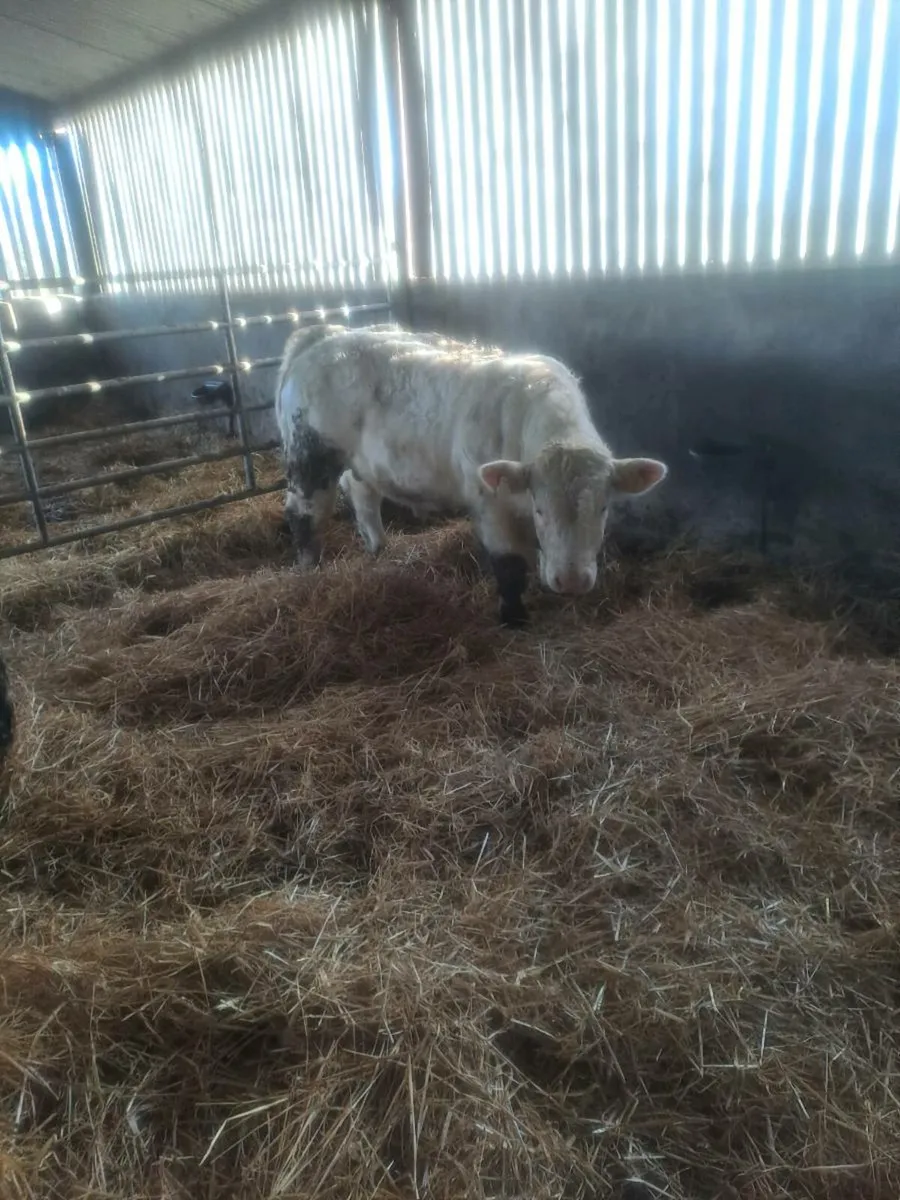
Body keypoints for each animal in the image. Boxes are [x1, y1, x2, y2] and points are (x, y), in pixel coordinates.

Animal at [274, 325, 667, 626]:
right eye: (541, 509)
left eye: (603, 508)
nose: (571, 581)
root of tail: (321, 336)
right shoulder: (488, 502)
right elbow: (509, 565)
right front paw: (514, 619)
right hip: (310, 456)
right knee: (304, 514)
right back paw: (309, 569)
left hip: (361, 463)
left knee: (363, 498)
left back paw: (378, 549)